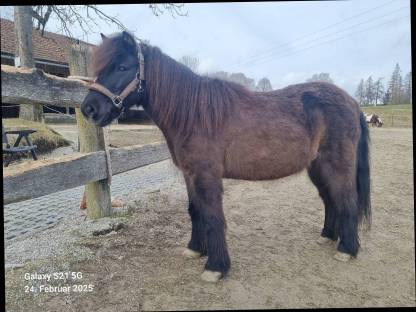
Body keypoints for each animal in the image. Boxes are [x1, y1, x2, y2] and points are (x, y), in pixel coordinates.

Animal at [80, 31, 370, 282]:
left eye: (122, 67)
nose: (88, 109)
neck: (194, 114)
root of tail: (353, 102)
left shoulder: (207, 176)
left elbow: (212, 215)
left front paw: (216, 267)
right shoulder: (190, 175)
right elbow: (194, 210)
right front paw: (195, 249)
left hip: (337, 165)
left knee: (347, 201)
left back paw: (347, 250)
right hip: (318, 167)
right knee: (331, 200)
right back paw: (328, 236)